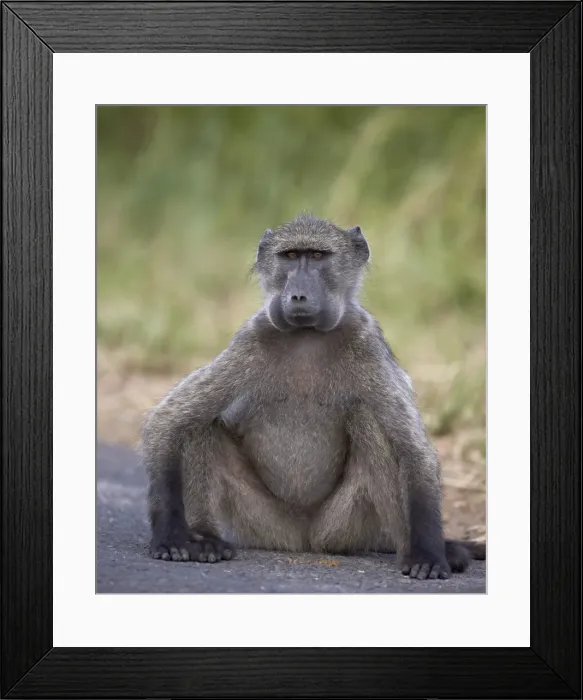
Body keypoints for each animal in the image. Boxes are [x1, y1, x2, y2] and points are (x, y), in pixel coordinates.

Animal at [141, 214, 486, 580]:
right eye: (291, 256)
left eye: (319, 256)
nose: (298, 295)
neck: (307, 336)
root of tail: (303, 541)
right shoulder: (249, 341)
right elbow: (168, 421)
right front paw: (171, 537)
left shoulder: (368, 345)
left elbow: (415, 452)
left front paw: (429, 554)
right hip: (265, 525)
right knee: (201, 426)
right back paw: (206, 538)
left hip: (342, 528)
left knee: (368, 422)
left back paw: (411, 549)